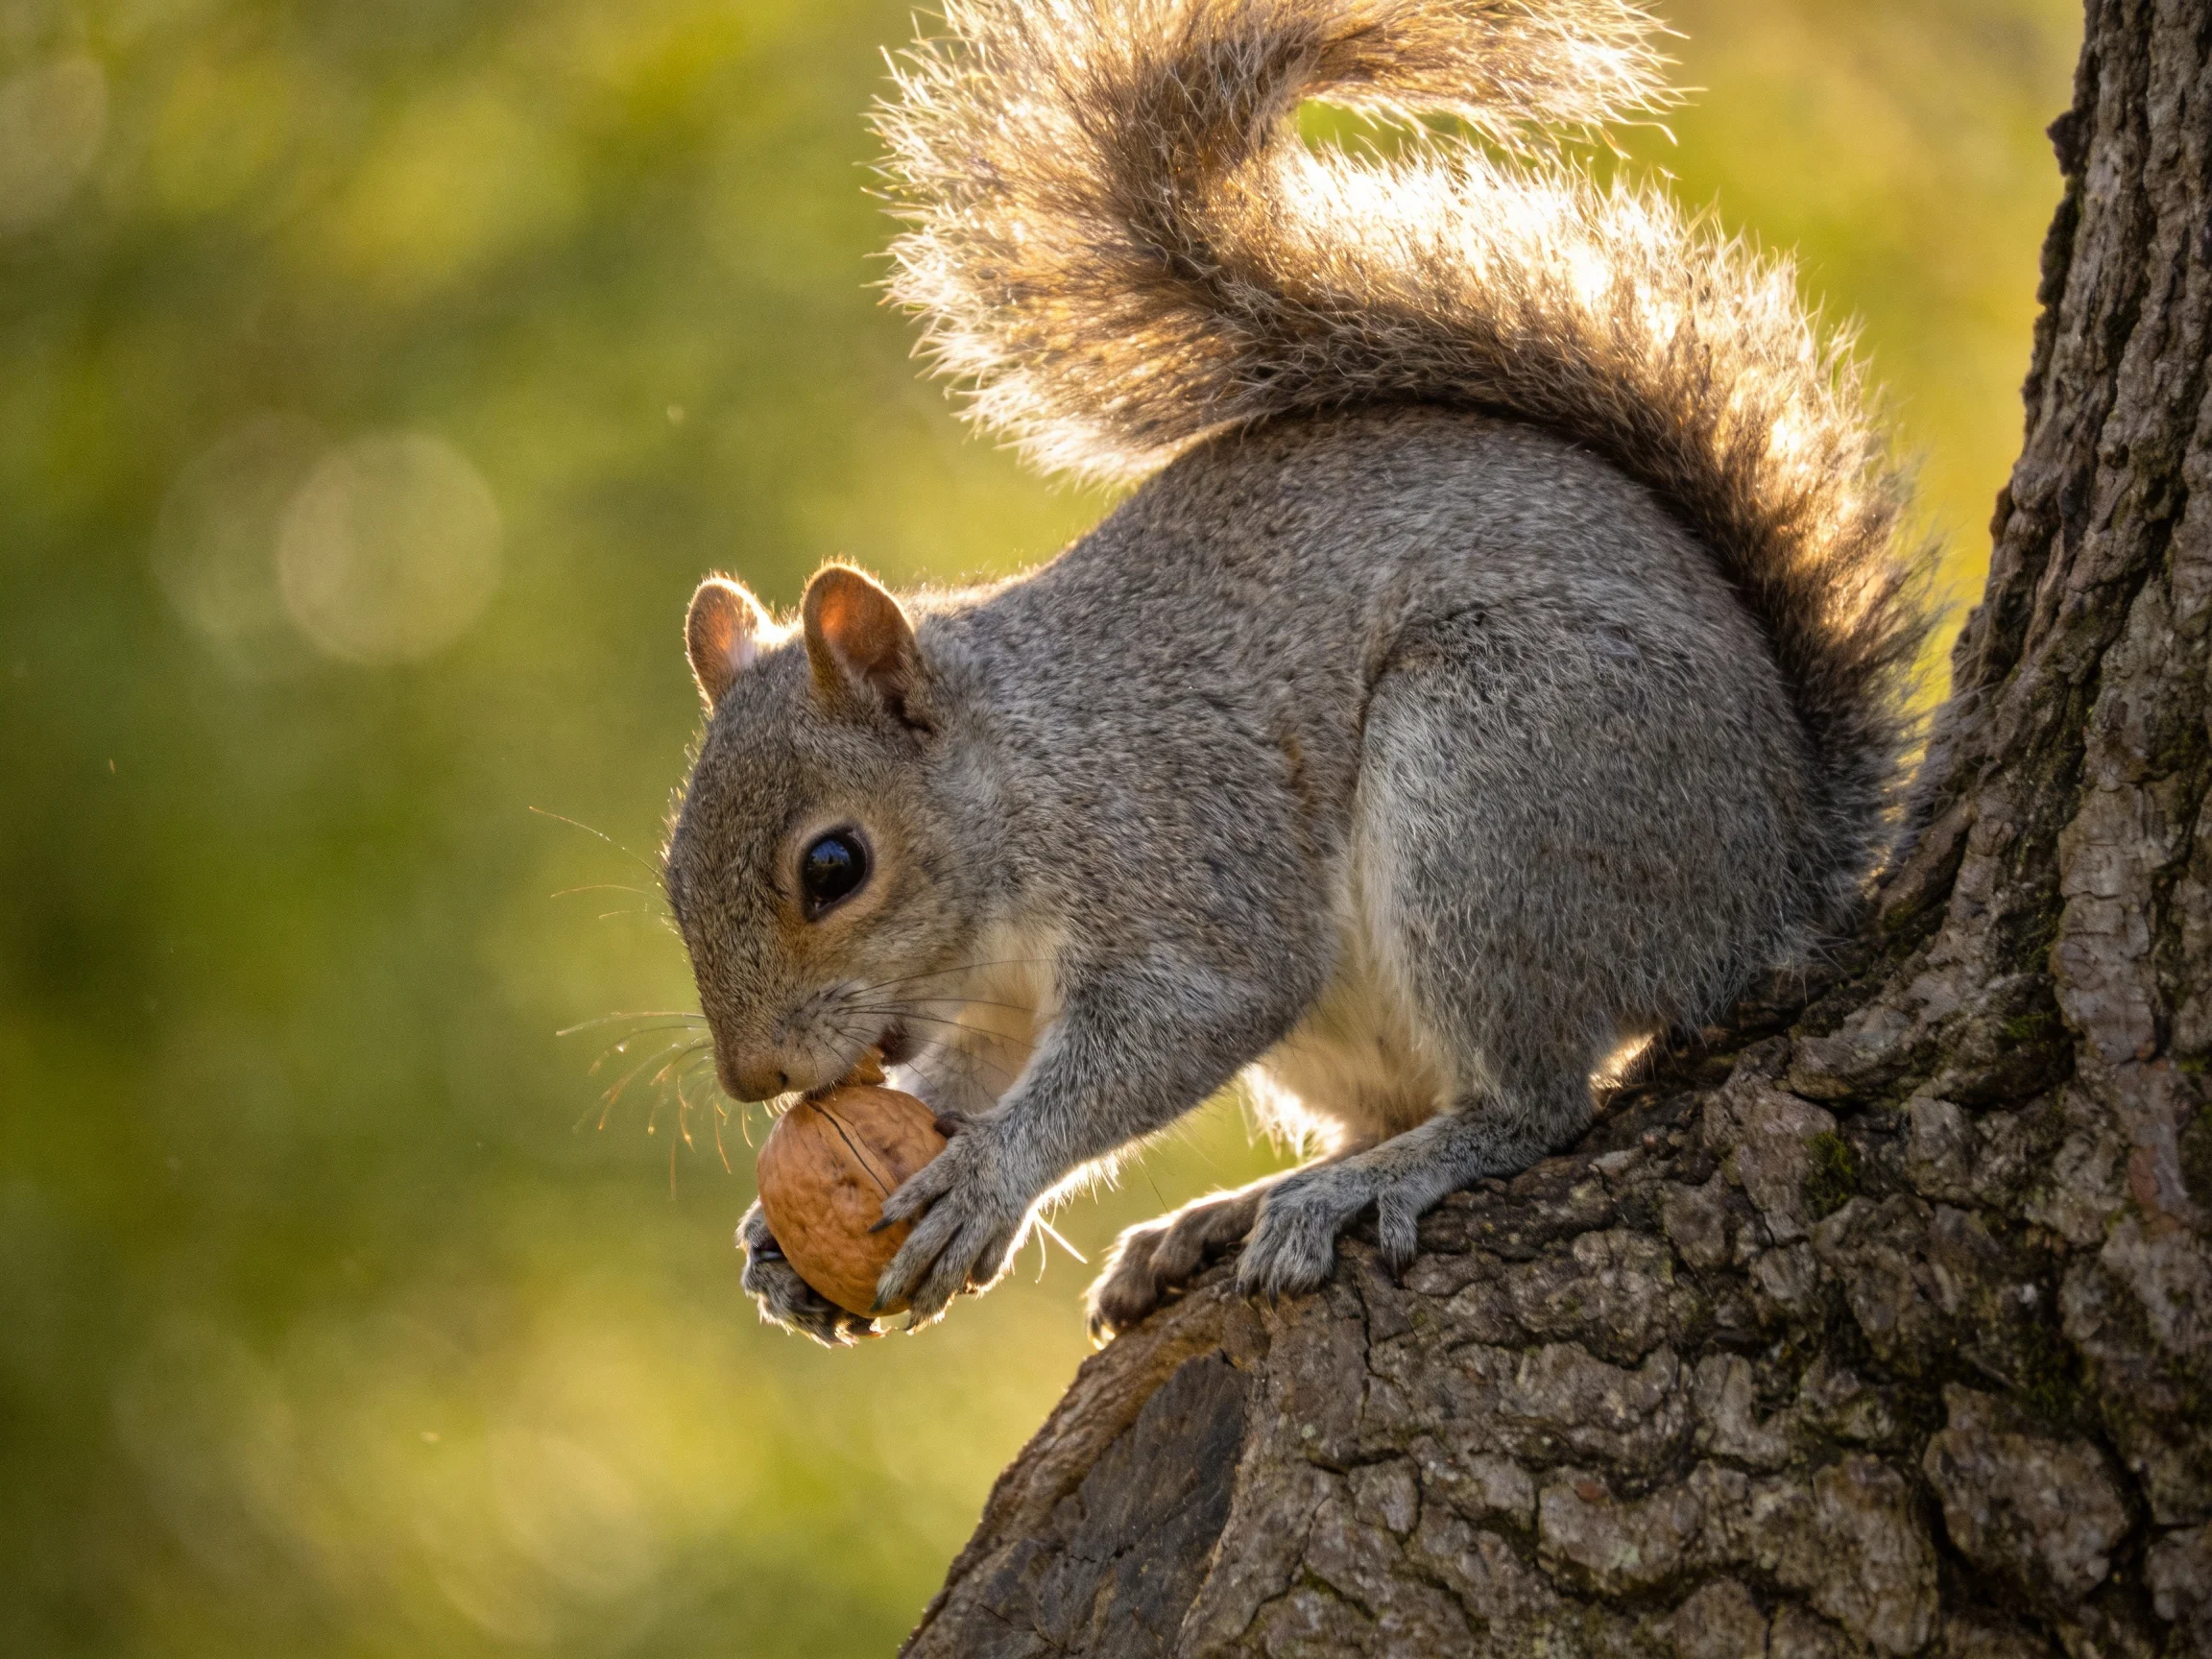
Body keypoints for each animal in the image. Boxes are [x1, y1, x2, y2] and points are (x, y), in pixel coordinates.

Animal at [660, 0, 1930, 1345]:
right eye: (671, 877)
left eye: (834, 868)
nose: (755, 1079)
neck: (1022, 779)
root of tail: (1777, 877)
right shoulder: (994, 999)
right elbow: (975, 1070)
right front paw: (788, 1245)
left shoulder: (1177, 849)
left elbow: (1189, 1015)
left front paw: (990, 1175)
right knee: (1392, 1106)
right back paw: (1228, 1213)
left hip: (1498, 783)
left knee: (1528, 1104)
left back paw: (1369, 1182)